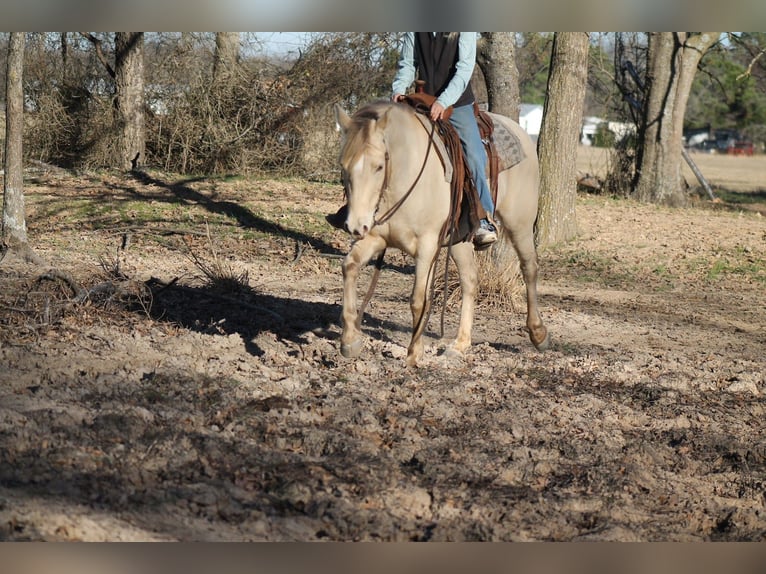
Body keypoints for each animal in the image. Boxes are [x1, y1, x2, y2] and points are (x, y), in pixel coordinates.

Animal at [333, 100, 549, 367]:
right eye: (343, 166)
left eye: (379, 166)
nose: (355, 226)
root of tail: (520, 132)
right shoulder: (375, 239)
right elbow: (349, 267)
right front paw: (350, 341)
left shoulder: (427, 247)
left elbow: (418, 299)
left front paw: (414, 353)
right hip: (460, 241)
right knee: (470, 280)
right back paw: (460, 344)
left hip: (520, 224)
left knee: (529, 269)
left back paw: (538, 333)